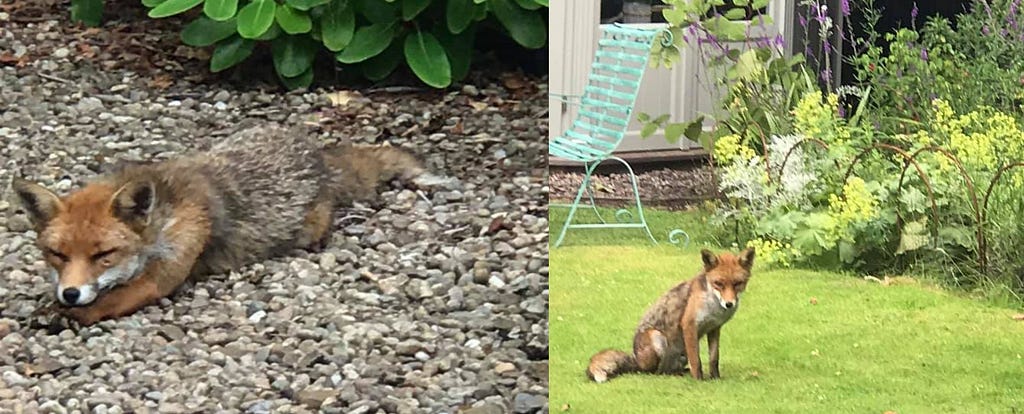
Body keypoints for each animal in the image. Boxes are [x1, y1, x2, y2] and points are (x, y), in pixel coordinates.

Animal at [9, 123, 446, 325]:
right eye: (57, 254)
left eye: (104, 254)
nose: (70, 293)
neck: (165, 217)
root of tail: (313, 152)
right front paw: (53, 305)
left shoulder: (166, 272)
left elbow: (112, 300)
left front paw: (65, 314)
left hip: (308, 227)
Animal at [585, 246, 753, 383]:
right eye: (719, 284)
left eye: (737, 283)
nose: (729, 304)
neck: (713, 305)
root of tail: (636, 362)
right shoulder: (689, 325)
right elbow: (696, 360)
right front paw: (699, 380)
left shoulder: (714, 328)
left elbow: (713, 358)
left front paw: (715, 378)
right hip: (657, 337)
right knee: (658, 372)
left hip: (680, 354)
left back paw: (682, 372)